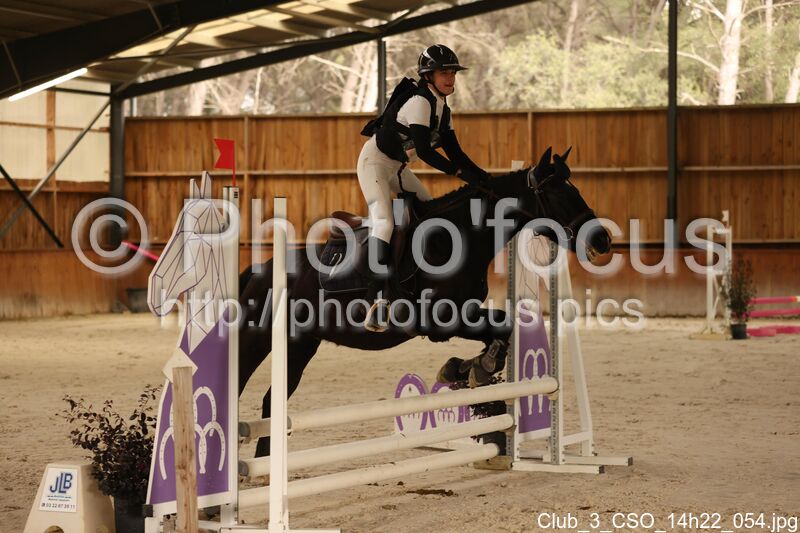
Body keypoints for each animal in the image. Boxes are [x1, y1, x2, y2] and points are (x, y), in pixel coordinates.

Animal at [237, 147, 612, 457]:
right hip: (256, 338)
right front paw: (474, 366)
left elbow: (501, 327)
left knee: (272, 401)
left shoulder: (464, 312)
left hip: (300, 345)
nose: (602, 240)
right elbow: (499, 326)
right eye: (558, 192)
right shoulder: (440, 321)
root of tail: (259, 270)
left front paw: (470, 367)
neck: (456, 239)